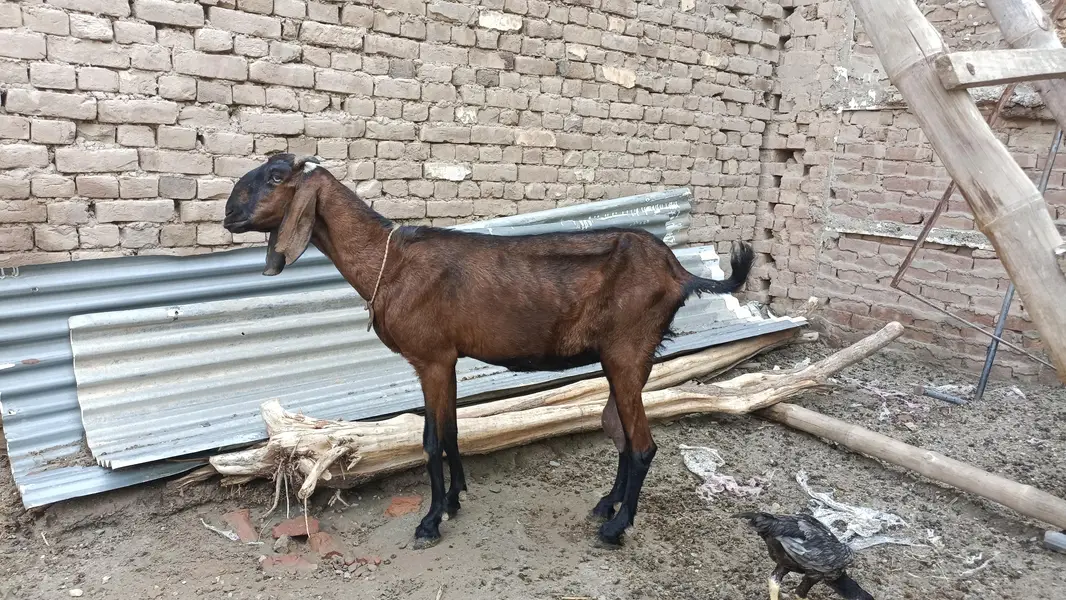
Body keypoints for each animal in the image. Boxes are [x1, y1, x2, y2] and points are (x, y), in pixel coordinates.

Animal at [223, 154, 755, 549]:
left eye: (275, 177)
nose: (228, 213)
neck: (389, 262)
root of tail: (679, 272)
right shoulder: (449, 359)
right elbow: (453, 431)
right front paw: (456, 500)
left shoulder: (431, 358)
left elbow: (431, 440)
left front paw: (430, 521)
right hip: (628, 359)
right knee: (621, 432)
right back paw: (607, 505)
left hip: (627, 353)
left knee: (643, 445)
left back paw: (615, 527)